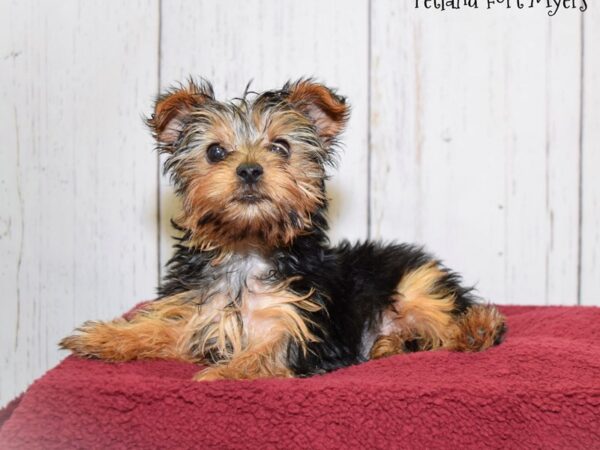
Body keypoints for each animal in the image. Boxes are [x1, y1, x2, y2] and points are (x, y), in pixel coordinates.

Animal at [61, 78, 504, 380]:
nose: (249, 169)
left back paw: (476, 329)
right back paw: (391, 344)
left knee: (451, 319)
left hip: (415, 284)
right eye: (215, 152)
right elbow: (164, 328)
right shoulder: (201, 314)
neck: (246, 247)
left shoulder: (303, 327)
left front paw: (223, 373)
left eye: (281, 147)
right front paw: (105, 337)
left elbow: (269, 352)